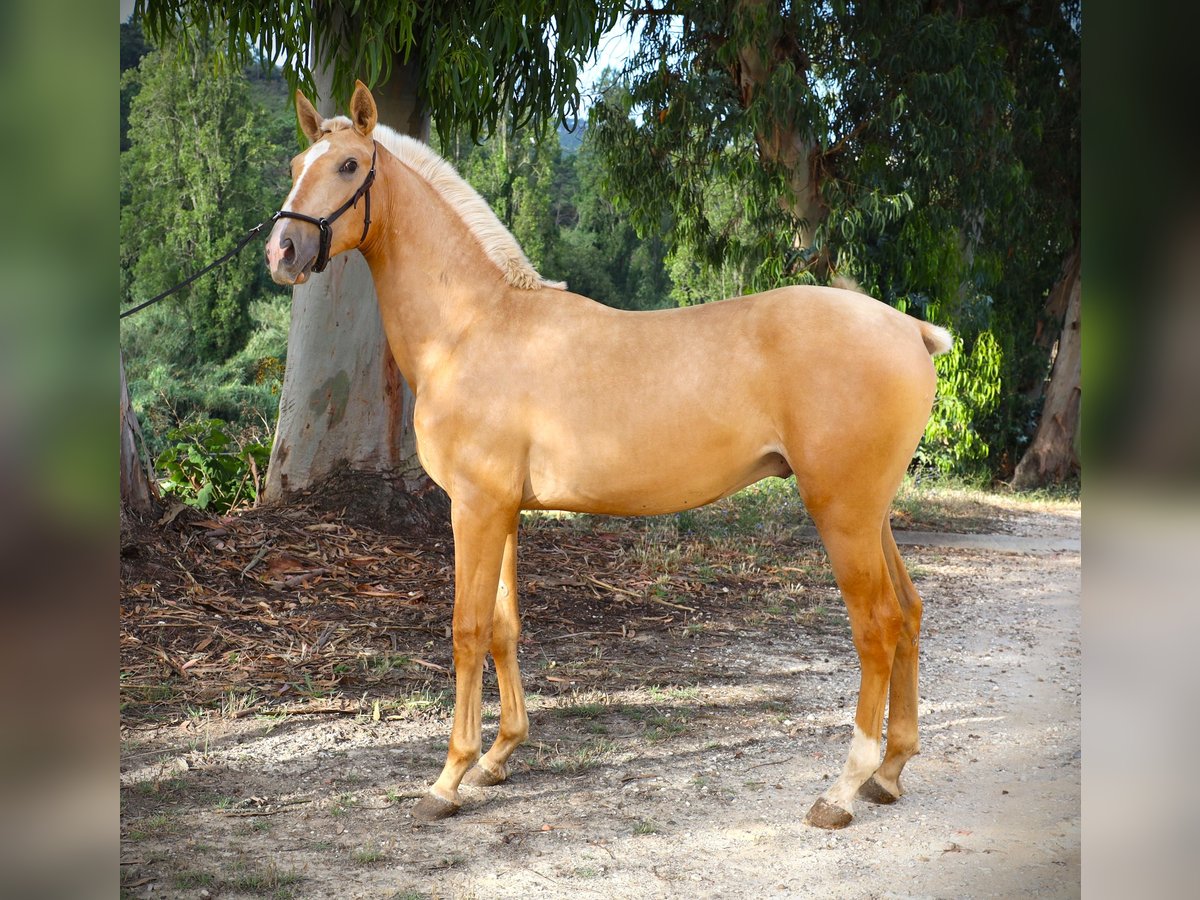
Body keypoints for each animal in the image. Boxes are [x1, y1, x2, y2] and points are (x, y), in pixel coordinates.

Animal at [267, 81, 950, 830]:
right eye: (298, 162)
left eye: (350, 166)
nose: (284, 250)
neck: (474, 326)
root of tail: (909, 330)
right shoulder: (504, 512)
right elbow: (505, 627)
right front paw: (497, 759)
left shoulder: (474, 508)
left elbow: (467, 630)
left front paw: (448, 779)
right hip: (870, 514)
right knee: (909, 614)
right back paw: (889, 772)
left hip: (841, 513)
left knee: (876, 628)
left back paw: (842, 788)